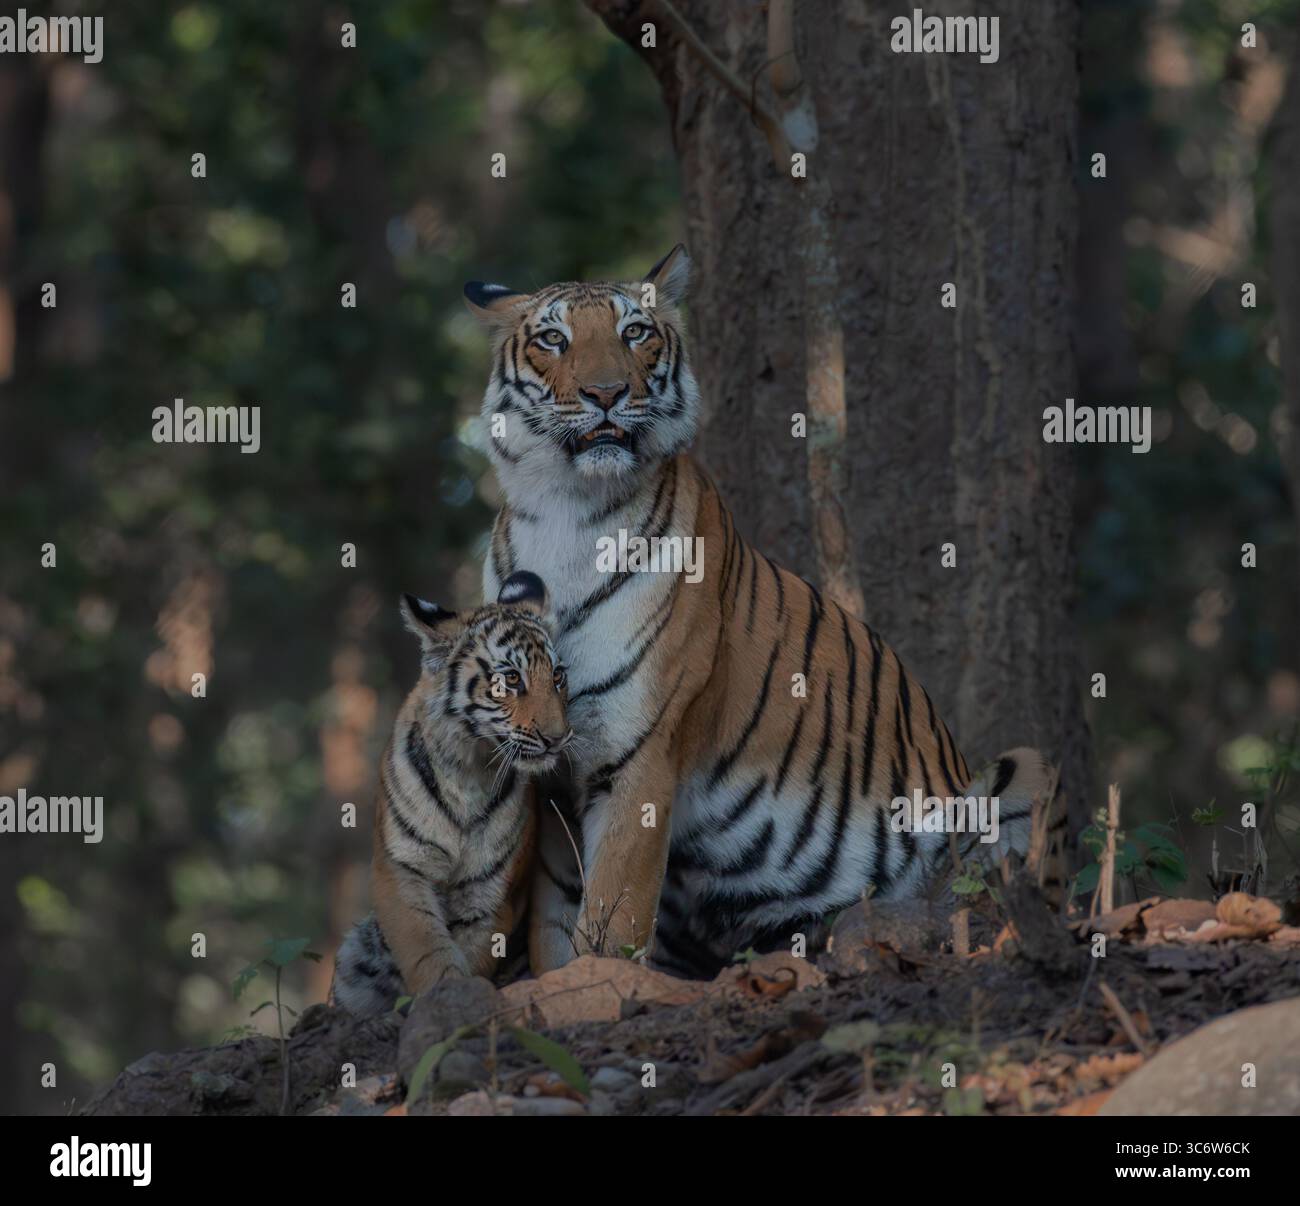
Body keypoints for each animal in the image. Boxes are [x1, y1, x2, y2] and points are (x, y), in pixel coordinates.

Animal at [333, 571, 571, 1015]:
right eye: (512, 678)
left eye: (558, 676)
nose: (558, 738)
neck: (471, 767)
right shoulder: (401, 868)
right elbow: (425, 948)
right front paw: (439, 1002)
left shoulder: (491, 891)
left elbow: (470, 953)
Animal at [465, 246, 1060, 978]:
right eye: (553, 339)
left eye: (635, 333)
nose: (607, 393)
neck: (566, 510)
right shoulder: (547, 771)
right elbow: (556, 922)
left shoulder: (640, 753)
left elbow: (613, 912)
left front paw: (603, 986)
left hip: (1023, 772)